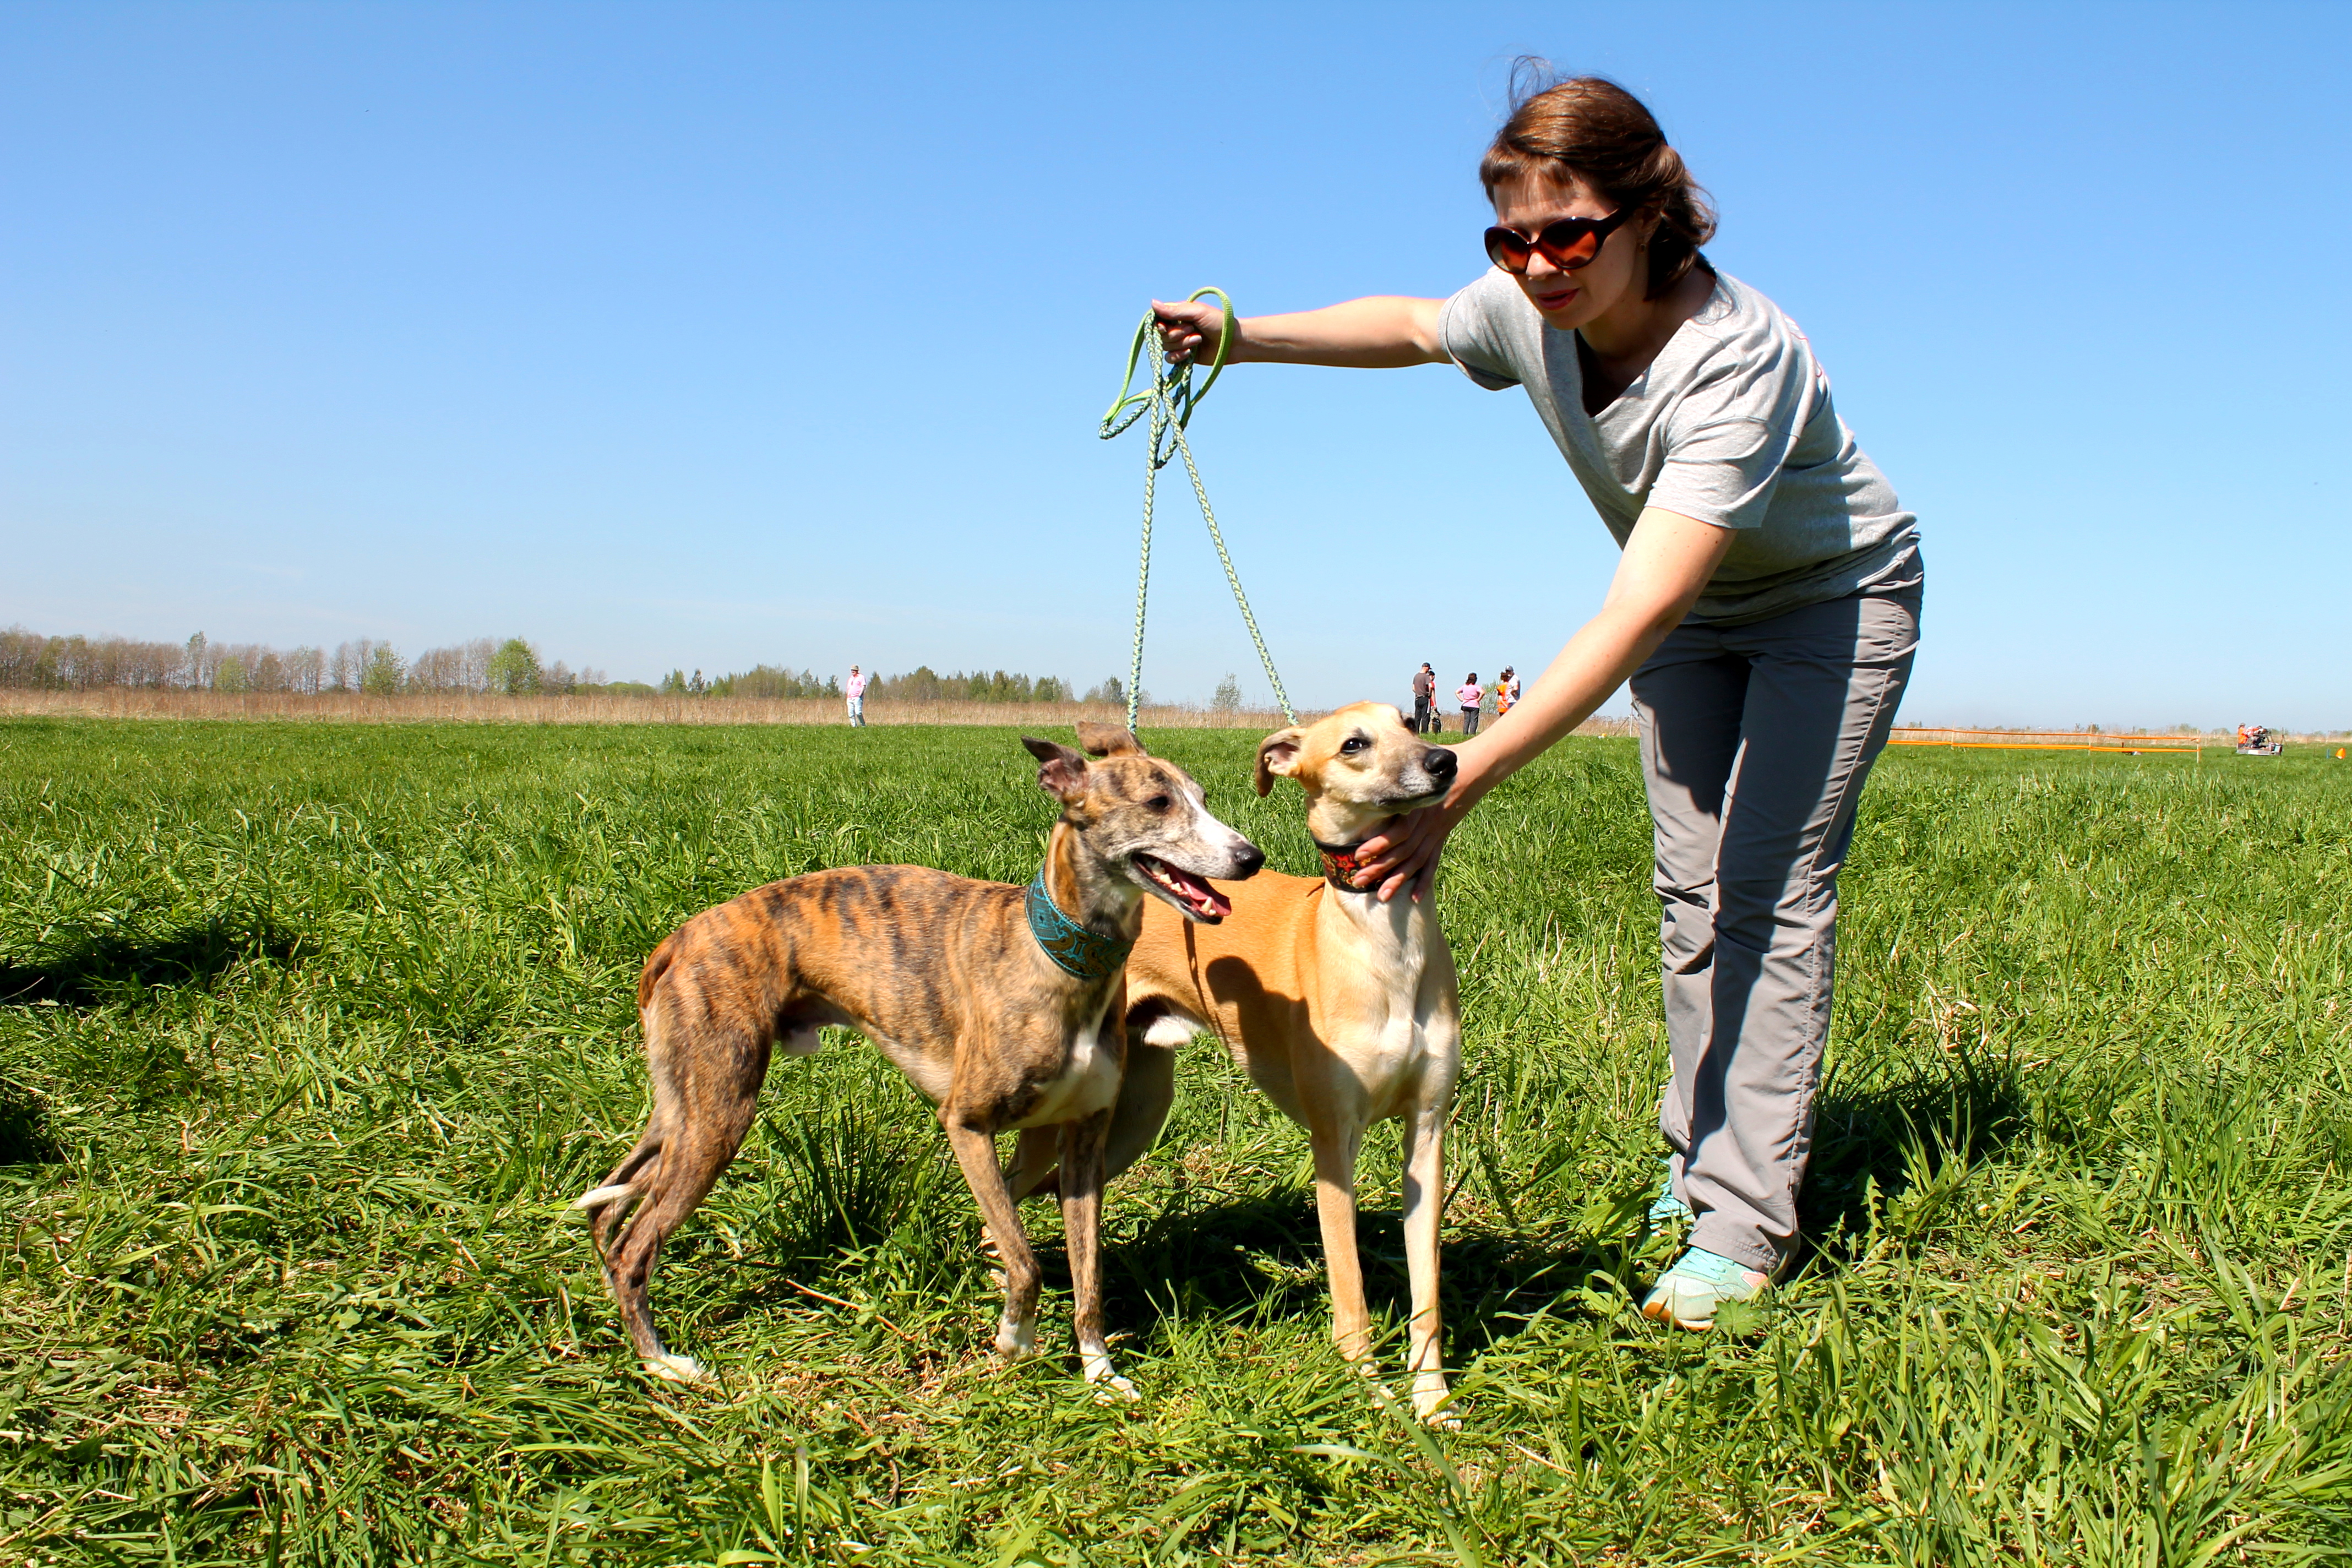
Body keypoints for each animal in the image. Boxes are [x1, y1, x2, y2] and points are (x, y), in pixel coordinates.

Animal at [576, 738, 1260, 1401]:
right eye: (1158, 802)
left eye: (1202, 797)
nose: (1250, 857)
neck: (1054, 954)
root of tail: (679, 939)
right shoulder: (967, 1124)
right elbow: (1026, 1260)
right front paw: (1015, 1339)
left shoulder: (1085, 1147)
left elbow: (1087, 1274)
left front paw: (1099, 1372)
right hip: (719, 1112)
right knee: (636, 1244)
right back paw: (663, 1363)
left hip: (685, 1107)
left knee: (609, 1209)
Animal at [1021, 710, 1458, 1419]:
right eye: (1353, 743)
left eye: (1409, 721)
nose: (1446, 761)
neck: (1385, 946)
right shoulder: (1333, 1141)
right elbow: (1350, 1288)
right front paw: (1371, 1392)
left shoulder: (1427, 1131)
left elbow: (1427, 1291)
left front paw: (1433, 1398)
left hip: (1134, 1115)